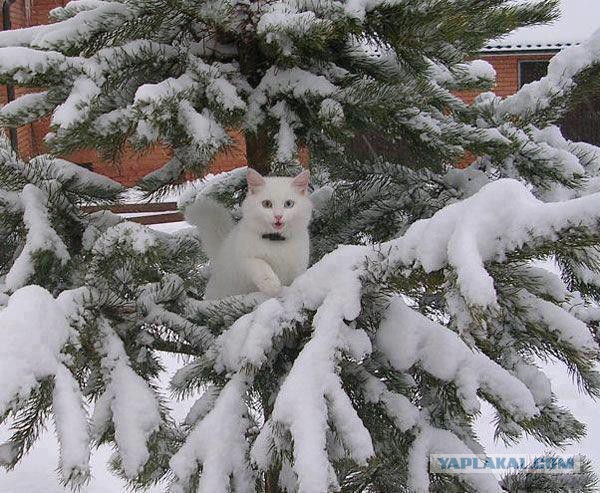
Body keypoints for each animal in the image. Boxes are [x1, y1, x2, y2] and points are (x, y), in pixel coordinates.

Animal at [185, 169, 312, 298]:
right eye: (267, 204)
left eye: (288, 204)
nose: (278, 216)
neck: (275, 240)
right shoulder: (244, 259)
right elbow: (260, 266)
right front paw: (272, 286)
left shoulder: (298, 267)